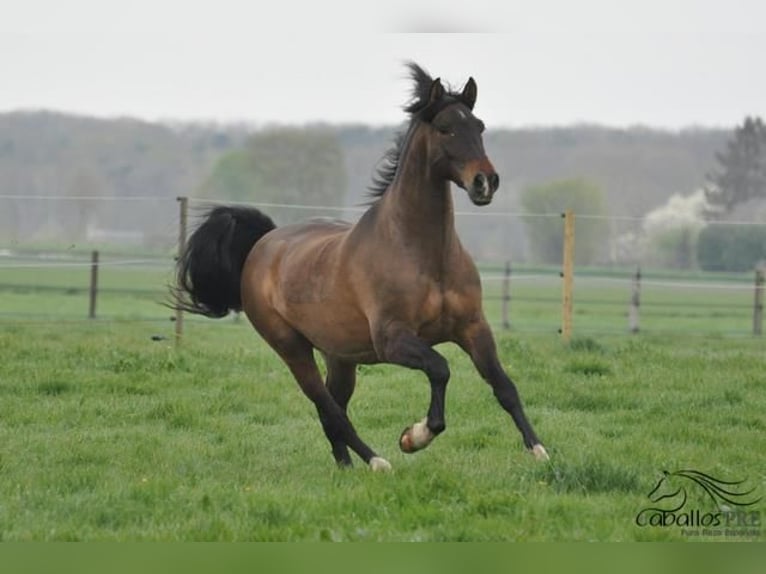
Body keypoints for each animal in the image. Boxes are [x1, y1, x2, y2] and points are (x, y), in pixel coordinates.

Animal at [176, 63, 544, 472]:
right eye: (445, 128)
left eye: (479, 127)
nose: (485, 182)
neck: (425, 255)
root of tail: (263, 242)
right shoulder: (392, 339)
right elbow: (440, 368)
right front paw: (414, 437)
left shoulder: (473, 328)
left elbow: (503, 385)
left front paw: (538, 450)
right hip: (292, 349)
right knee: (330, 409)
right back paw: (376, 461)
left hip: (339, 357)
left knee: (332, 409)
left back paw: (346, 467)